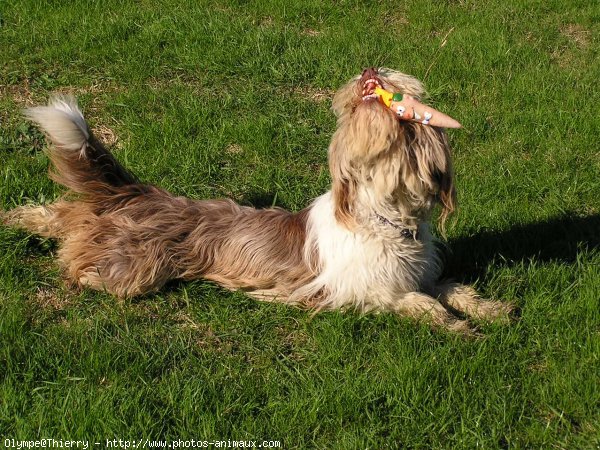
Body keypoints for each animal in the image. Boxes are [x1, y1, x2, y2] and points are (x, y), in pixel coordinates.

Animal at [3, 68, 510, 332]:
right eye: (360, 108)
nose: (370, 76)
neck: (387, 222)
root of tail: (139, 194)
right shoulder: (367, 290)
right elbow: (418, 303)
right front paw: (457, 326)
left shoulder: (423, 274)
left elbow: (453, 288)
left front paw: (493, 310)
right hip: (134, 266)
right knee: (78, 254)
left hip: (101, 228)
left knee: (59, 214)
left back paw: (15, 219)